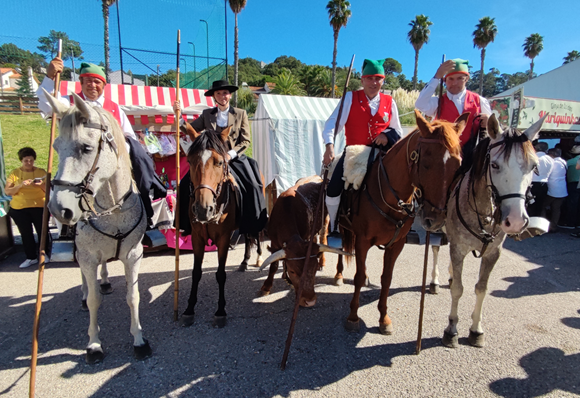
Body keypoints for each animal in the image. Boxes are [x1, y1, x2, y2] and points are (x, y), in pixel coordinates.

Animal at [44, 91, 152, 364]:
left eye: (86, 148)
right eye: (56, 146)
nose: (59, 209)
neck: (112, 212)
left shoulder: (133, 255)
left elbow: (133, 297)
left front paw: (139, 339)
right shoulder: (88, 256)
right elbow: (94, 301)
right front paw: (94, 344)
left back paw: (103, 281)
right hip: (81, 251)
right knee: (85, 278)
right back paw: (85, 292)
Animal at [340, 110, 466, 334]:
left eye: (457, 164)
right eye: (426, 163)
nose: (435, 218)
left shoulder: (396, 245)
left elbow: (387, 278)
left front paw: (384, 318)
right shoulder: (363, 241)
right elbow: (359, 276)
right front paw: (353, 316)